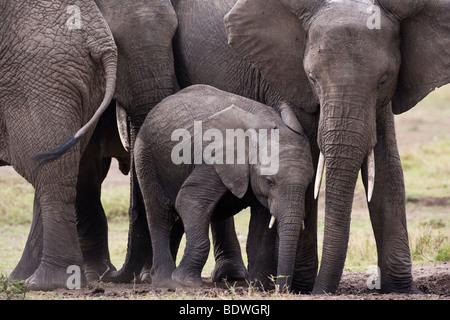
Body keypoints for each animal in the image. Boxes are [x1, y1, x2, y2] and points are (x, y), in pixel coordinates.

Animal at [135, 84, 314, 288]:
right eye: (270, 181)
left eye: (308, 184)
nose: (280, 288)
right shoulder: (213, 160)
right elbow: (189, 200)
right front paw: (187, 282)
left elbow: (261, 227)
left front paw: (258, 286)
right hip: (146, 155)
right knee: (160, 214)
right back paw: (166, 282)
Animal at [223, 0, 448, 294]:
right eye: (312, 78)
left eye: (384, 80)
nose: (322, 290)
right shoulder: (289, 83)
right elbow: (306, 162)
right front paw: (302, 287)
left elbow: (387, 167)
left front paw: (401, 289)